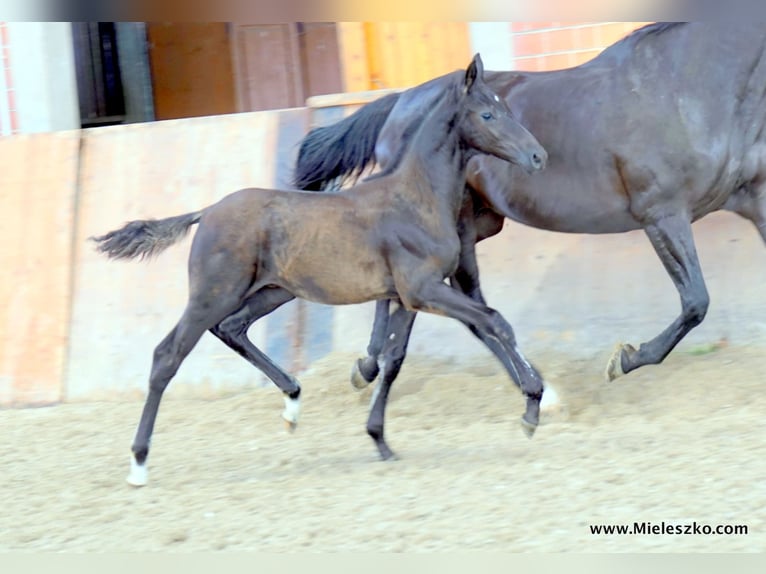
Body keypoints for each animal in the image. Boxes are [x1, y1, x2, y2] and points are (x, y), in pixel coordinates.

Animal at [93, 54, 548, 488]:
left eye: (506, 106)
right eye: (487, 114)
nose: (538, 156)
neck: (415, 198)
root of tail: (207, 212)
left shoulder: (409, 297)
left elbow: (393, 359)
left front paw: (379, 439)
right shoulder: (423, 289)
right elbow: (494, 321)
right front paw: (532, 405)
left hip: (273, 290)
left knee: (232, 328)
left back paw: (293, 403)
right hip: (214, 292)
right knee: (167, 355)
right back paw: (138, 464)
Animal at [296, 22, 766, 392]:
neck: (688, 86)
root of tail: (400, 101)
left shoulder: (754, 201)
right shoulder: (663, 214)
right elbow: (696, 302)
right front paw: (625, 359)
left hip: (479, 223)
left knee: (435, 298)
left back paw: (372, 366)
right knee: (443, 300)